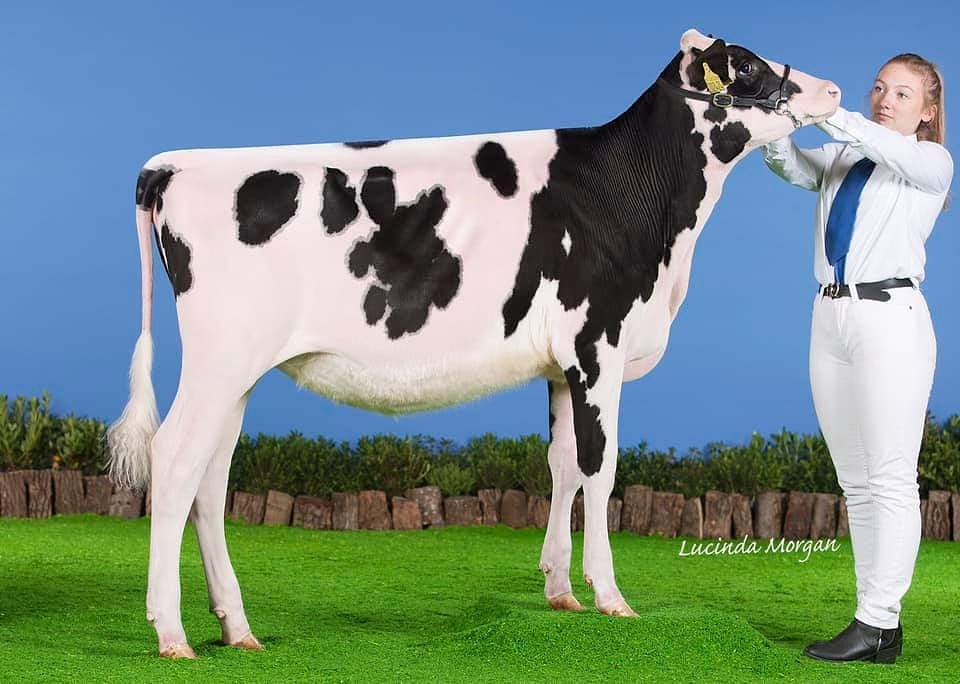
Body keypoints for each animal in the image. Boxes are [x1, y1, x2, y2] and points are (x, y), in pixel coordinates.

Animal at [107, 29, 840, 658]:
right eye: (745, 64)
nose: (832, 89)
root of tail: (172, 167)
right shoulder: (596, 345)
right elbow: (601, 470)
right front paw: (611, 598)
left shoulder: (561, 366)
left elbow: (563, 467)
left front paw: (561, 592)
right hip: (219, 358)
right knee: (174, 459)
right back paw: (171, 632)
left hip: (240, 371)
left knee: (209, 479)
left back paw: (236, 629)